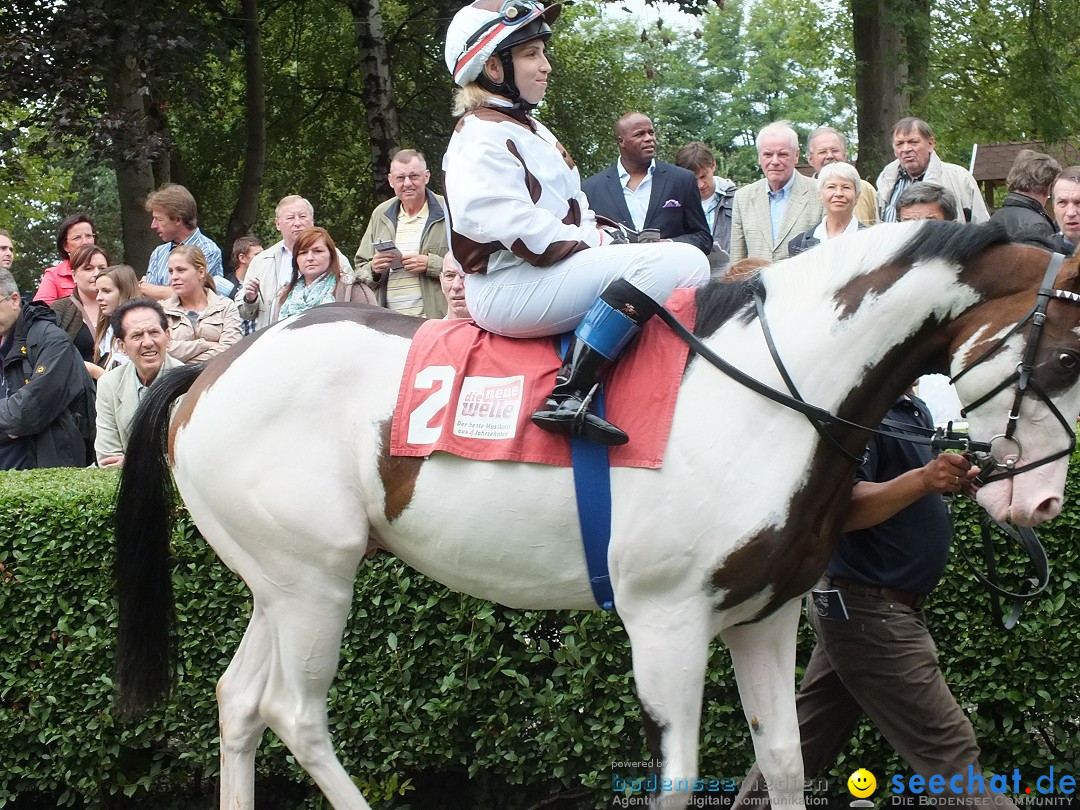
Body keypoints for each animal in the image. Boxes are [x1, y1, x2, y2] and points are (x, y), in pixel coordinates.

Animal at [113, 222, 1080, 810]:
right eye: (1067, 355)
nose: (1041, 500)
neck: (774, 391)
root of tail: (207, 370)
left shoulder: (764, 618)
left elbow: (782, 762)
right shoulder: (666, 623)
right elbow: (678, 778)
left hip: (278, 583)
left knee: (239, 701)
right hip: (316, 582)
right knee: (295, 712)